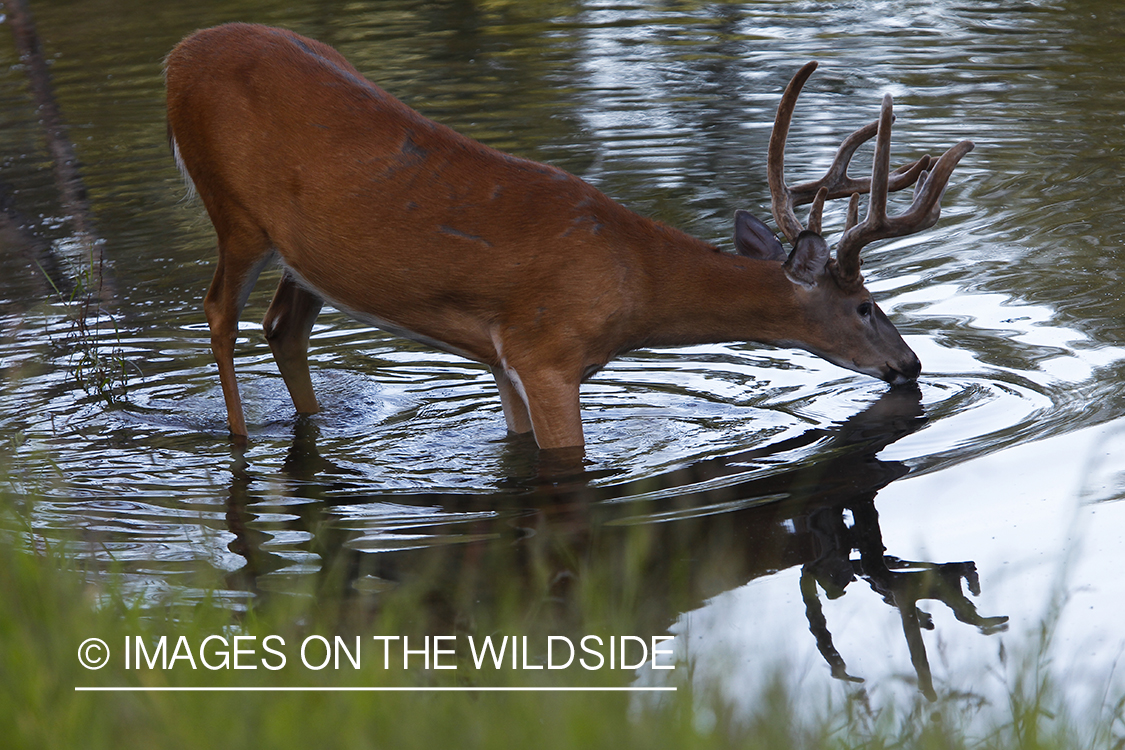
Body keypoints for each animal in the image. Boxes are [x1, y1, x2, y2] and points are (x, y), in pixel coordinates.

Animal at [163, 24, 972, 452]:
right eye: (864, 304)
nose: (910, 363)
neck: (634, 280)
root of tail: (178, 58)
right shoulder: (546, 351)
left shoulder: (504, 359)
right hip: (233, 211)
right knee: (219, 313)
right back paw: (239, 438)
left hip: (303, 255)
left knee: (283, 324)